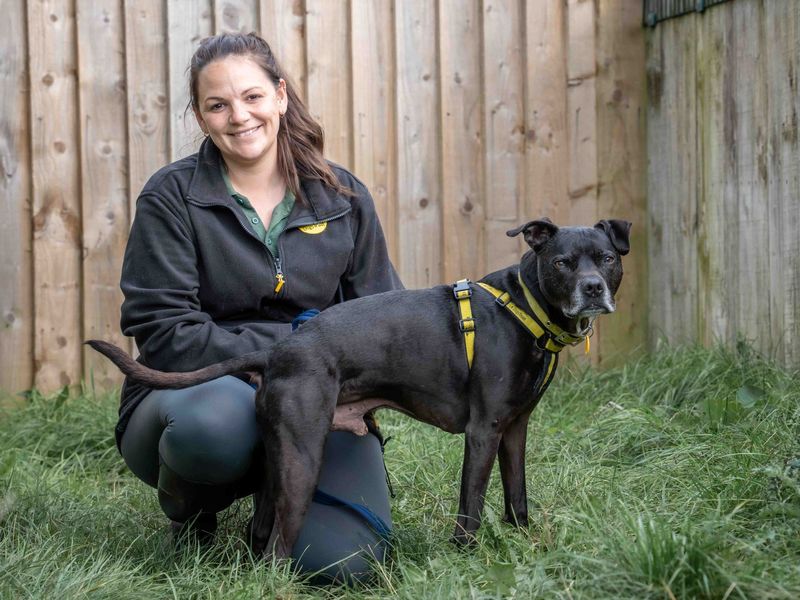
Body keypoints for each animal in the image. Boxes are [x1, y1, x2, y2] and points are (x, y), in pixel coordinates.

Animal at [90, 219, 632, 556]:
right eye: (562, 262)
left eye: (606, 258)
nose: (593, 289)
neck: (523, 307)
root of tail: (278, 353)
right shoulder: (483, 431)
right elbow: (471, 503)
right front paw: (466, 553)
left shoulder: (515, 428)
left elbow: (516, 494)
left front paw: (523, 540)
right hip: (302, 461)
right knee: (280, 546)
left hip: (278, 463)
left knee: (261, 533)